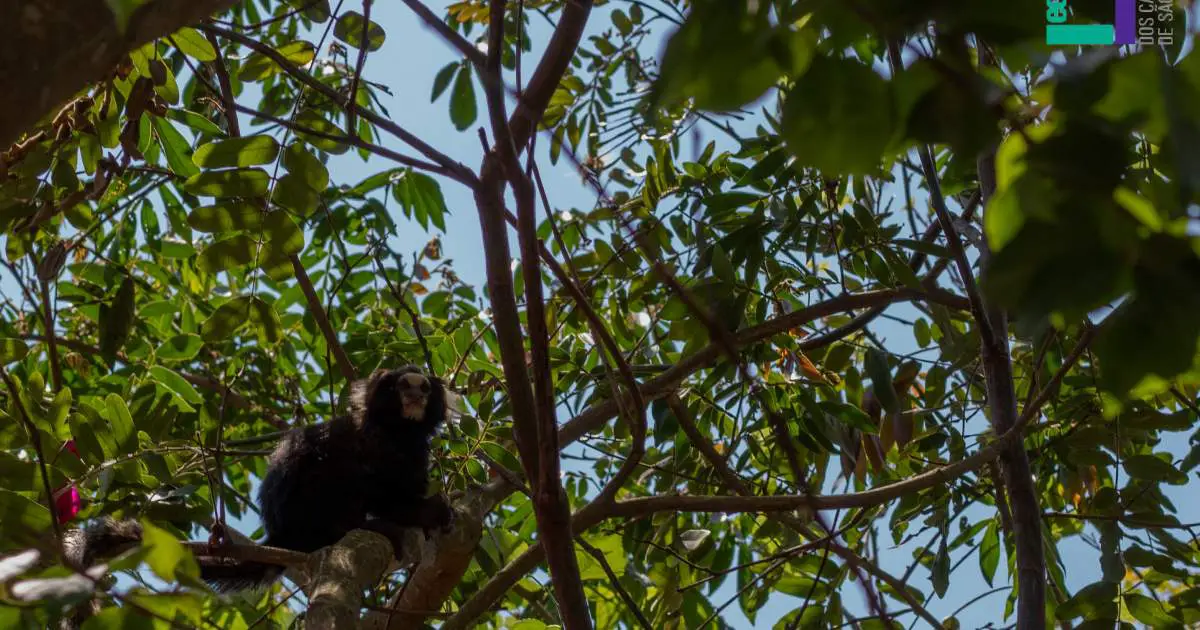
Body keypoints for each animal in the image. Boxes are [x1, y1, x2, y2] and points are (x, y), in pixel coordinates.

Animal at [62, 362, 453, 595]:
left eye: (424, 388)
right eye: (401, 387)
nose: (415, 393)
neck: (398, 434)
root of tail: (284, 535)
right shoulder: (372, 444)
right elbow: (377, 489)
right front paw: (420, 513)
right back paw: (354, 527)